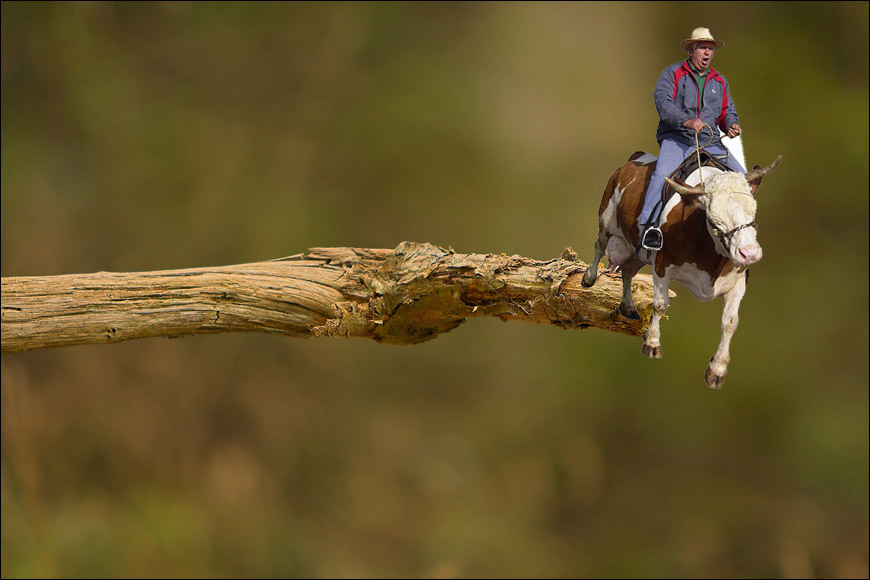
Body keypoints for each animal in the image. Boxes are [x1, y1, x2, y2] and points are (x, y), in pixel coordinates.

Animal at [584, 152, 788, 390]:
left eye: (752, 212)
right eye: (714, 220)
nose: (750, 253)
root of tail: (635, 158)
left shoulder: (738, 281)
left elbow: (730, 322)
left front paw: (717, 370)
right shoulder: (662, 264)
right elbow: (660, 305)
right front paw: (652, 344)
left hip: (637, 249)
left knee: (627, 271)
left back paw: (628, 307)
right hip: (606, 220)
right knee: (599, 246)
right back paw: (588, 278)